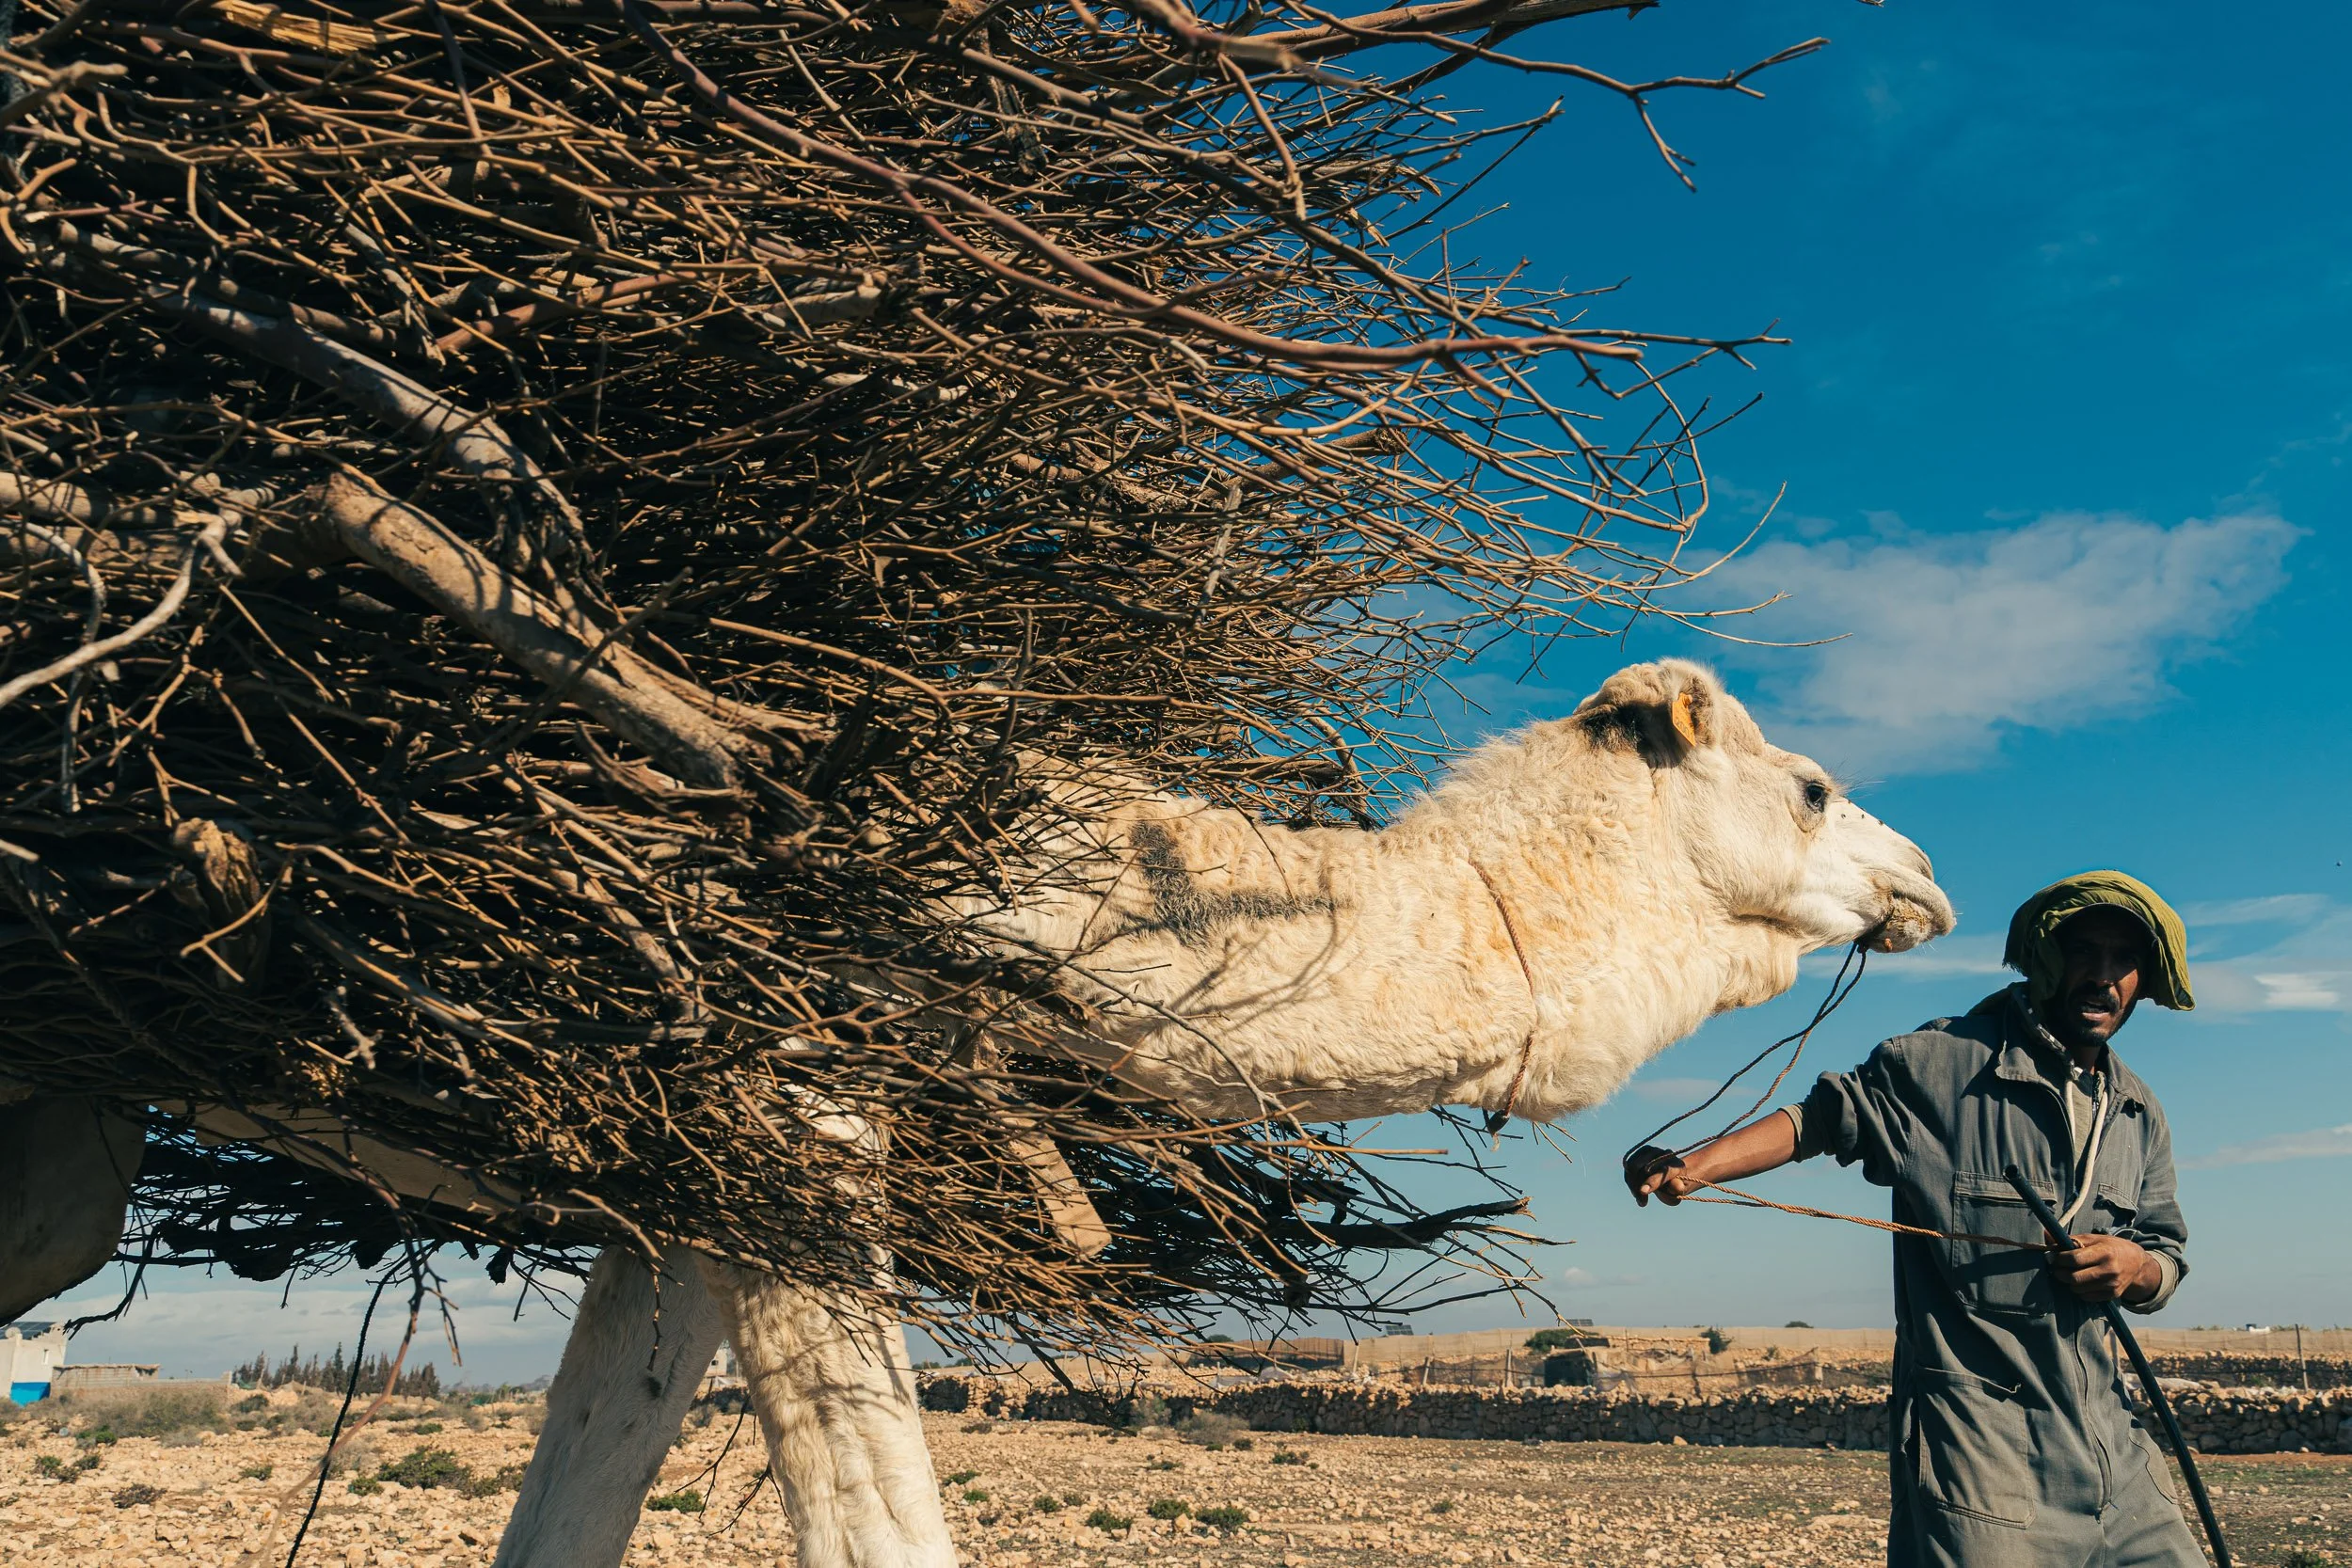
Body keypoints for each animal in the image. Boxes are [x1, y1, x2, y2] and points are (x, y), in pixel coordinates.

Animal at [1, 658, 1953, 1568]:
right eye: (1809, 783)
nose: (1923, 878)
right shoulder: (801, 1098)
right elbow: (875, 1518)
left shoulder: (687, 1195)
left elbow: (581, 1487)